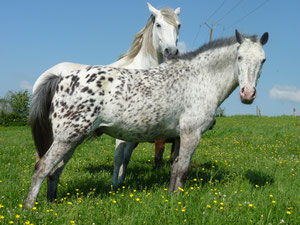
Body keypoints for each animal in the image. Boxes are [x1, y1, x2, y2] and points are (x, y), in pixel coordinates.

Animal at [31, 2, 180, 188]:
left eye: (178, 25)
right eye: (158, 24)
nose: (172, 51)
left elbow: (126, 158)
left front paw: (121, 181)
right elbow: (118, 158)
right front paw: (114, 184)